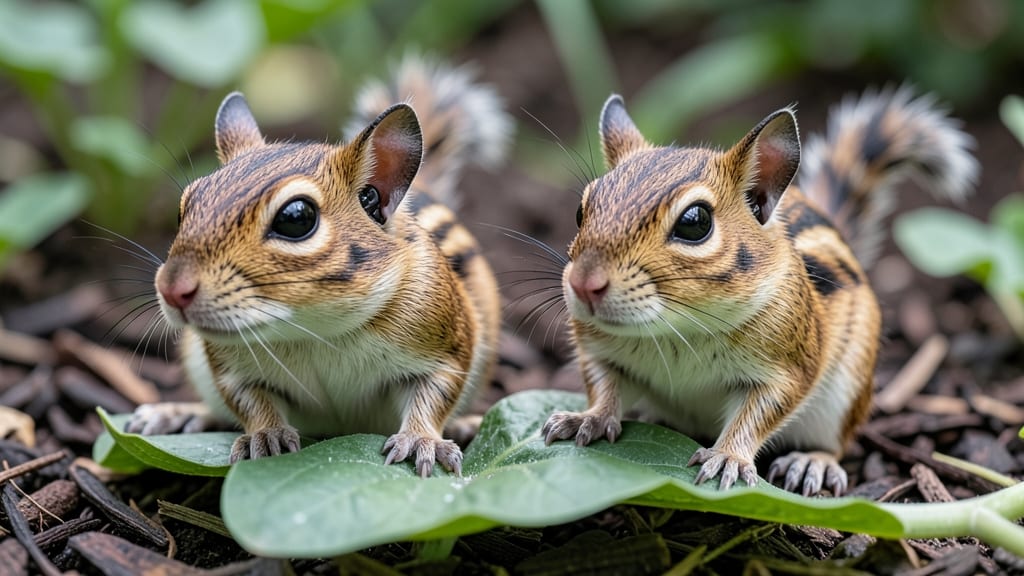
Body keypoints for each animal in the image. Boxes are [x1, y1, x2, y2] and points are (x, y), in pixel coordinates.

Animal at [126, 55, 512, 477]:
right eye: (185, 208)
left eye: (296, 218)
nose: (172, 290)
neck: (314, 331)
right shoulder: (230, 368)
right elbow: (248, 401)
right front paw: (267, 434)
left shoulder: (446, 346)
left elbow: (435, 395)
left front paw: (420, 438)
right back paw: (177, 413)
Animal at [542, 88, 977, 495]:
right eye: (581, 211)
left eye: (695, 222)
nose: (583, 285)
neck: (679, 329)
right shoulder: (598, 351)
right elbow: (604, 385)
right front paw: (588, 417)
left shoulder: (789, 368)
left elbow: (757, 415)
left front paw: (728, 456)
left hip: (846, 393)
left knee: (835, 444)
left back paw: (812, 462)